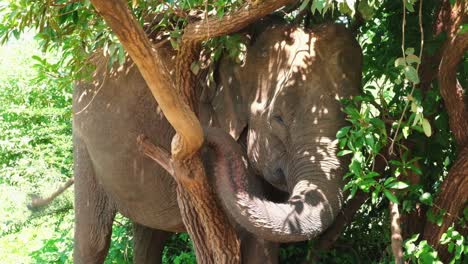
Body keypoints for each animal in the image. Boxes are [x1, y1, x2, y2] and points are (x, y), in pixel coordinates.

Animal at [73, 21, 362, 264]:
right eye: (277, 118)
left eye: (355, 118)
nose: (147, 142)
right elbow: (255, 239)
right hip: (81, 138)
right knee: (94, 239)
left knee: (150, 235)